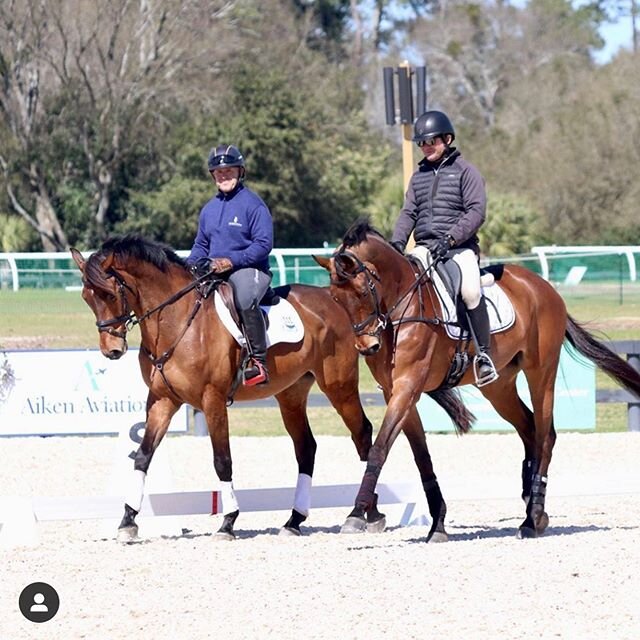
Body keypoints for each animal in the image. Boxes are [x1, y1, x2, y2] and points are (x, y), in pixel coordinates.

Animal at [72, 234, 470, 540]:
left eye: (109, 293)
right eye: (87, 297)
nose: (111, 350)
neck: (177, 321)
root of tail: (336, 303)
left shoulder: (212, 399)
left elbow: (222, 460)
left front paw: (228, 522)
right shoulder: (162, 399)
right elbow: (142, 456)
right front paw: (127, 521)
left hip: (338, 385)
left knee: (363, 435)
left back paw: (367, 515)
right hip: (290, 393)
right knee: (306, 447)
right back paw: (295, 520)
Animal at [314, 220, 640, 540]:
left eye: (362, 291)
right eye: (335, 299)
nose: (367, 346)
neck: (401, 310)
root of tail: (545, 288)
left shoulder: (408, 387)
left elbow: (379, 448)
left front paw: (356, 514)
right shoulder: (396, 391)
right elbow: (421, 456)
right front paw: (438, 523)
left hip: (541, 373)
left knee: (545, 434)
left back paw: (533, 517)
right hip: (499, 387)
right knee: (529, 428)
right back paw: (531, 503)